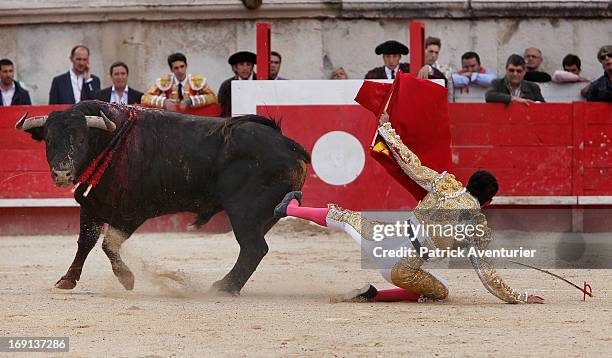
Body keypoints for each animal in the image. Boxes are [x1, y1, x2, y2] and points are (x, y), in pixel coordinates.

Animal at [16, 100, 308, 294]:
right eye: (49, 140)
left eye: (80, 140)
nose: (62, 173)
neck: (110, 143)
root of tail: (288, 145)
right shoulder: (92, 206)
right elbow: (85, 243)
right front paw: (67, 279)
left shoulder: (132, 213)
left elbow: (109, 245)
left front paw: (127, 279)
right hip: (264, 215)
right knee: (254, 248)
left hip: (243, 212)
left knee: (253, 247)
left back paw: (223, 287)